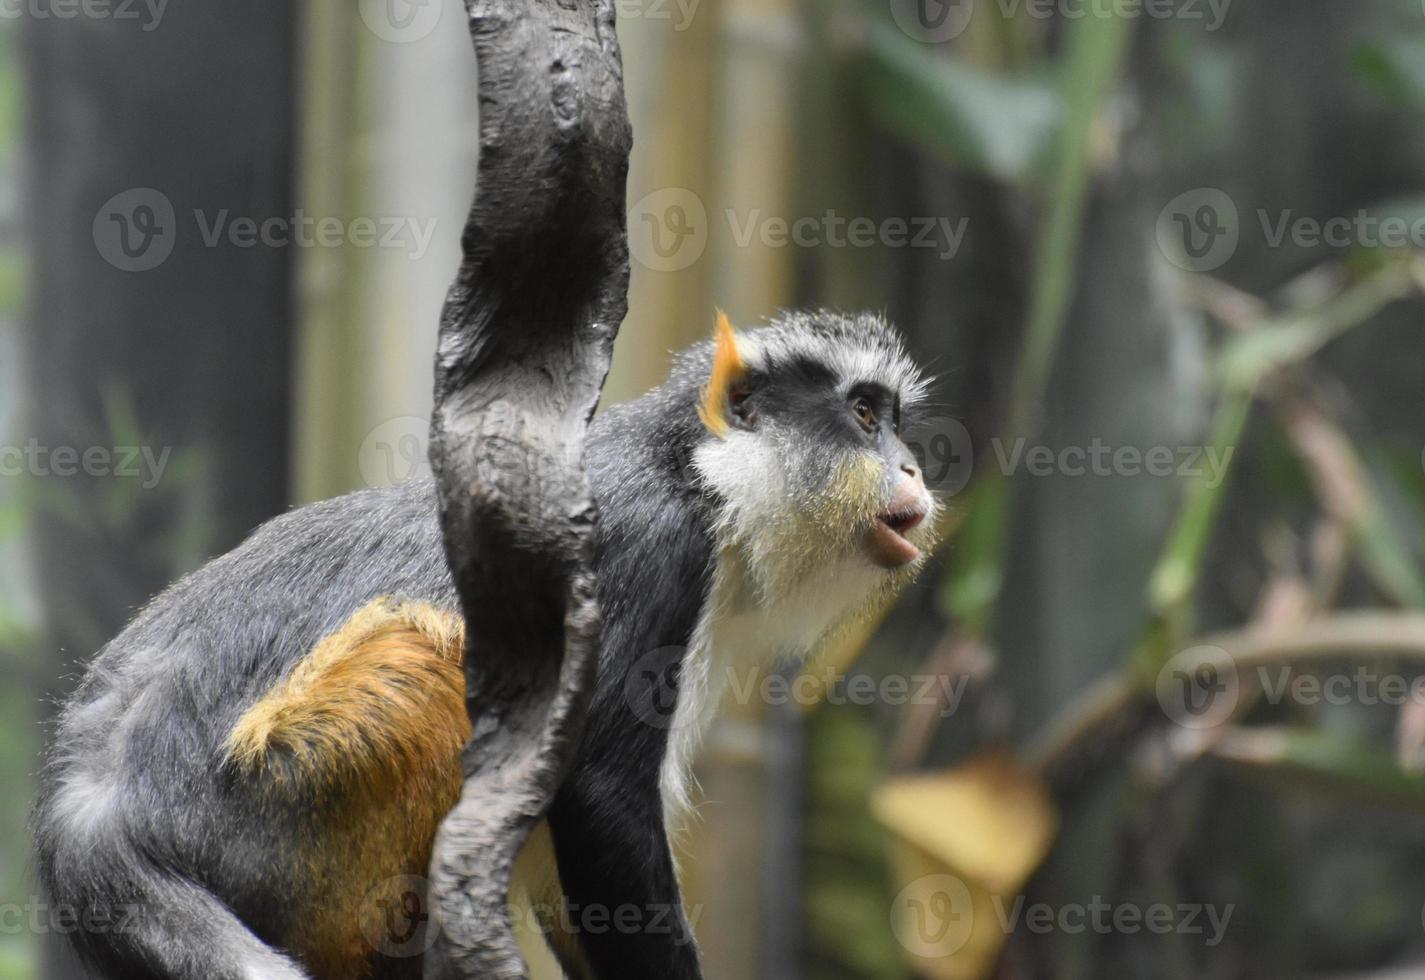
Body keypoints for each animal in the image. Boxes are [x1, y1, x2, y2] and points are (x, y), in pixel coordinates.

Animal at [30, 310, 934, 980]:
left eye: (893, 423)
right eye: (861, 415)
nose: (913, 468)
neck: (700, 473)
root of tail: (96, 817)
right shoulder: (647, 551)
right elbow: (600, 800)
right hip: (277, 816)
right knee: (422, 657)